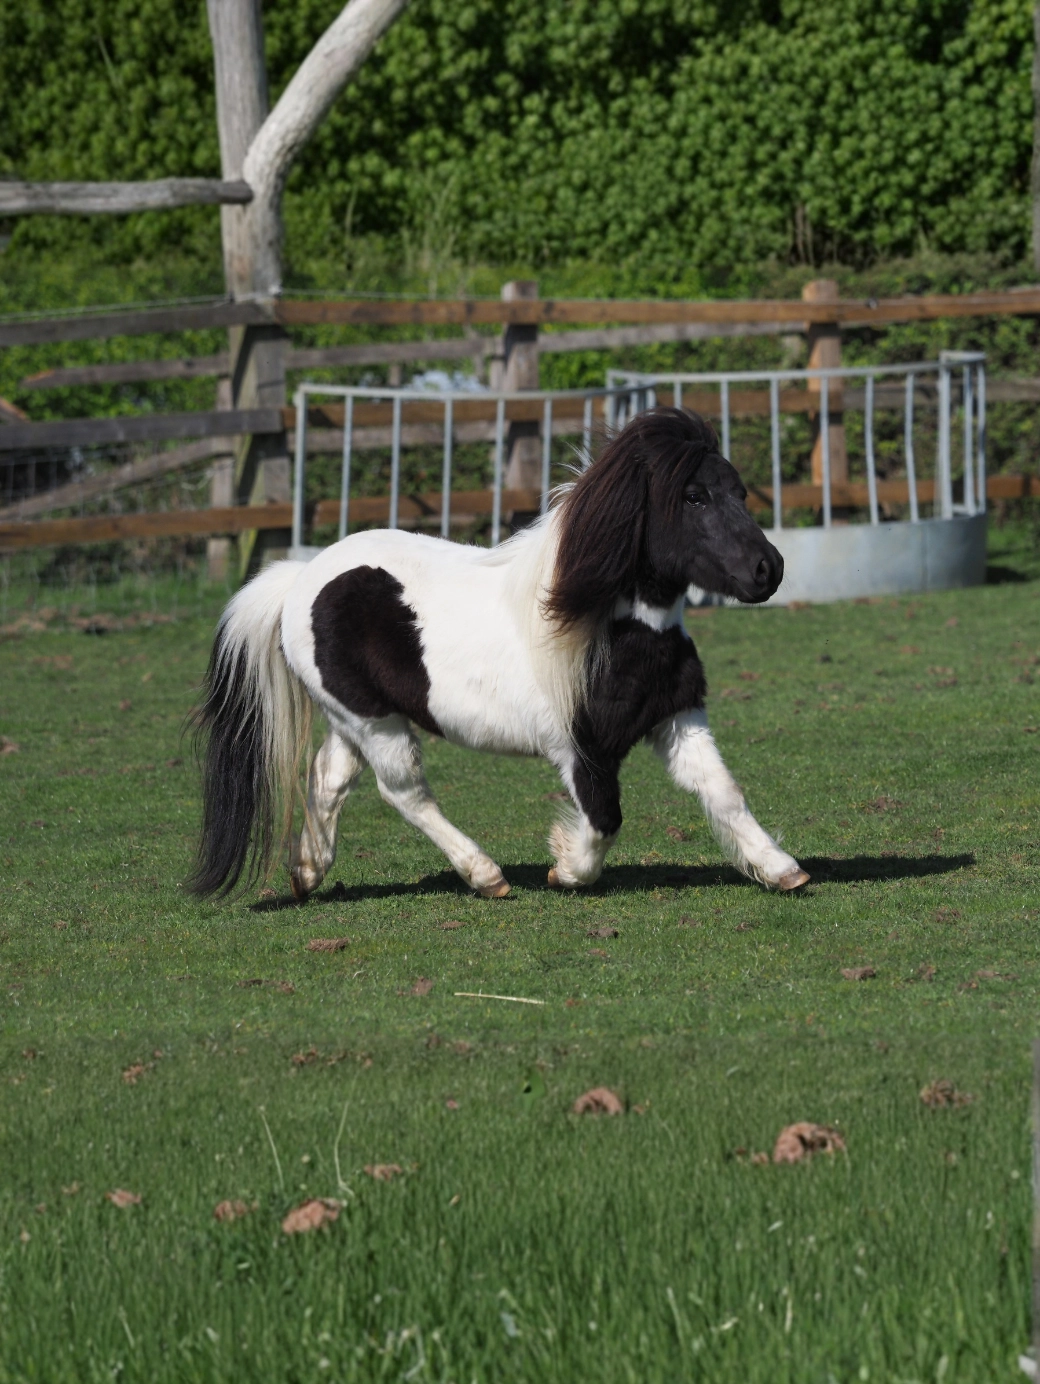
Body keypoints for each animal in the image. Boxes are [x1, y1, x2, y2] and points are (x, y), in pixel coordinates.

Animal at [189, 406, 810, 901]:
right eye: (694, 496)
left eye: (740, 492)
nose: (768, 570)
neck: (611, 630)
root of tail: (299, 579)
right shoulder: (581, 750)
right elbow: (604, 818)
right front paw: (565, 869)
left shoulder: (677, 718)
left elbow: (724, 792)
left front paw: (782, 869)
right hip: (375, 722)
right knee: (404, 792)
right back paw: (486, 876)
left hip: (355, 718)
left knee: (329, 777)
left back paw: (308, 872)